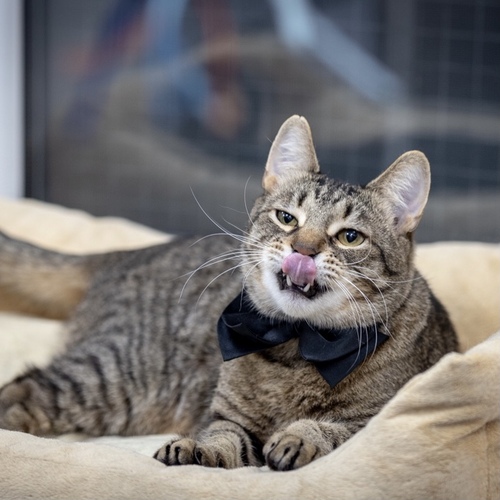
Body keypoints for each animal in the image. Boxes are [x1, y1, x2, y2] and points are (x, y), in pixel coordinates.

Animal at [0, 115, 457, 471]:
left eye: (349, 237)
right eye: (287, 218)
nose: (303, 249)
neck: (296, 346)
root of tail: (125, 253)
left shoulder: (378, 420)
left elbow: (335, 429)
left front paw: (300, 435)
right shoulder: (226, 417)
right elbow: (222, 438)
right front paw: (196, 448)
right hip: (113, 377)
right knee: (24, 387)